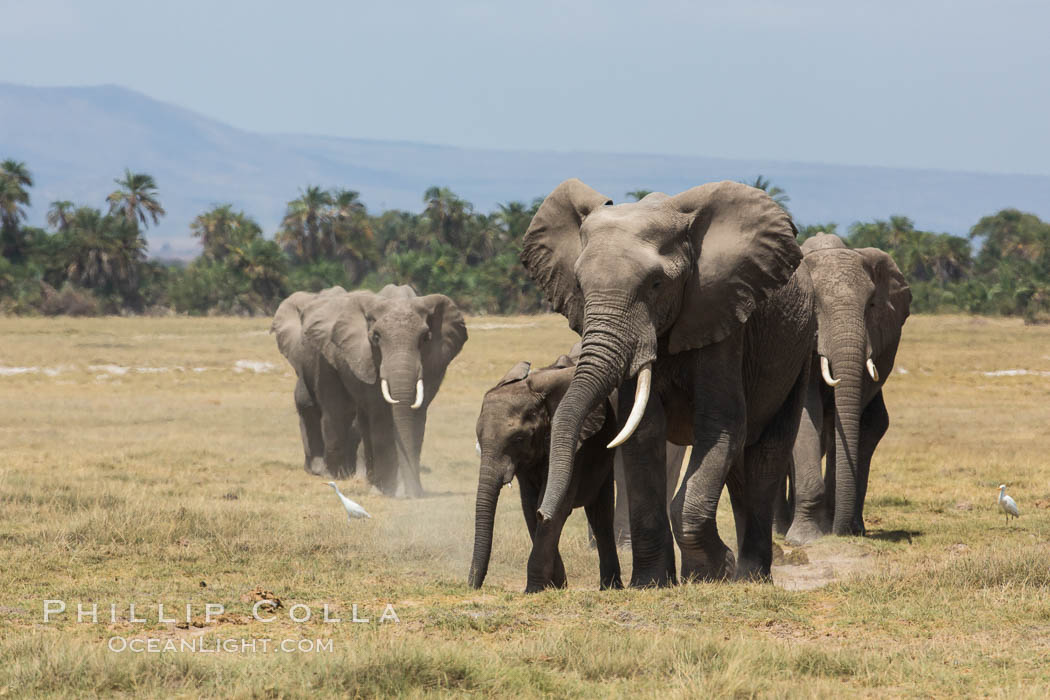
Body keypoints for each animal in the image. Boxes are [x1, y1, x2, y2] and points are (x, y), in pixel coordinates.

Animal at [270, 281, 468, 495]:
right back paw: (333, 474)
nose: (412, 491)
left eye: (425, 338)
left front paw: (408, 492)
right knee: (330, 410)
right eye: (376, 337)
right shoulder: (362, 358)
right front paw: (385, 491)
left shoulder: (433, 363)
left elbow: (417, 416)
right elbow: (379, 416)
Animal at [470, 356, 621, 591]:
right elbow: (529, 506)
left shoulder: (577, 449)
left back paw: (611, 587)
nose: (472, 585)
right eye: (478, 436)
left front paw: (534, 590)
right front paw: (556, 586)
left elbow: (557, 505)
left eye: (518, 439)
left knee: (601, 516)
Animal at [520, 178, 814, 587]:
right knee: (739, 468)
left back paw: (751, 577)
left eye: (656, 283)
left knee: (766, 453)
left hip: (798, 350)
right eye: (579, 285)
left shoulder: (721, 313)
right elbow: (643, 431)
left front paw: (713, 572)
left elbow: (719, 424)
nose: (543, 514)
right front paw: (651, 583)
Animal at [781, 232, 911, 545]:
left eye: (871, 306)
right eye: (813, 306)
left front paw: (830, 526)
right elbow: (806, 413)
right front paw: (803, 539)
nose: (839, 531)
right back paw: (780, 526)